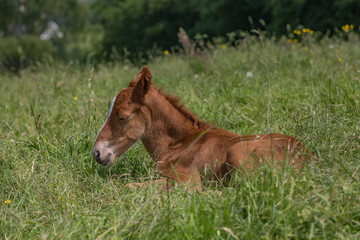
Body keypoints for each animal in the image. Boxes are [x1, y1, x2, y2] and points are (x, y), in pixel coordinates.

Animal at [93, 66, 316, 190]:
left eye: (122, 116)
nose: (96, 152)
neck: (177, 144)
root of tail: (306, 158)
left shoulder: (186, 179)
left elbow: (131, 185)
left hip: (238, 153)